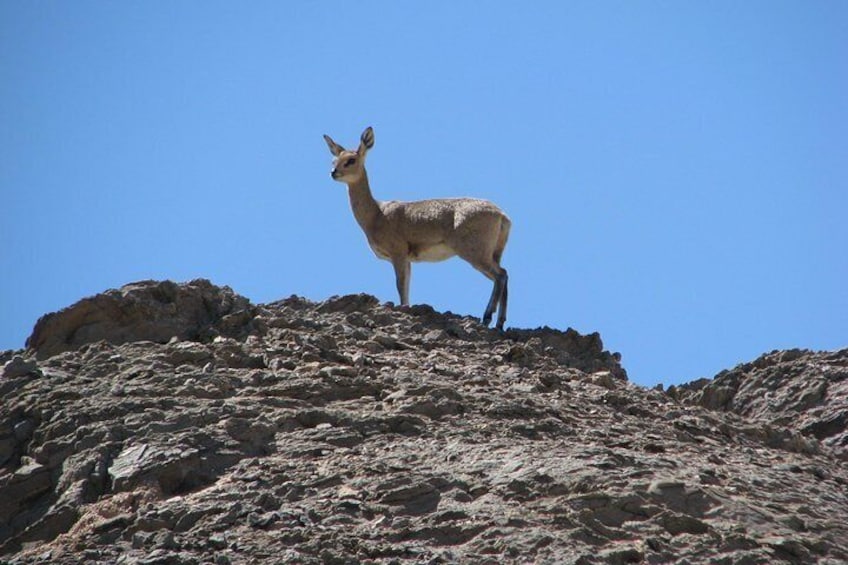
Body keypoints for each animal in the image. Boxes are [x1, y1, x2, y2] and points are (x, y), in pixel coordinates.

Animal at [322, 125, 510, 328]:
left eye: (351, 159)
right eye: (334, 159)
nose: (333, 172)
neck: (376, 215)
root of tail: (503, 216)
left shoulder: (398, 252)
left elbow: (400, 285)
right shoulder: (408, 259)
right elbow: (407, 287)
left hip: (475, 252)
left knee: (501, 275)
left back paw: (487, 317)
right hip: (491, 254)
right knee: (504, 275)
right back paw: (499, 323)